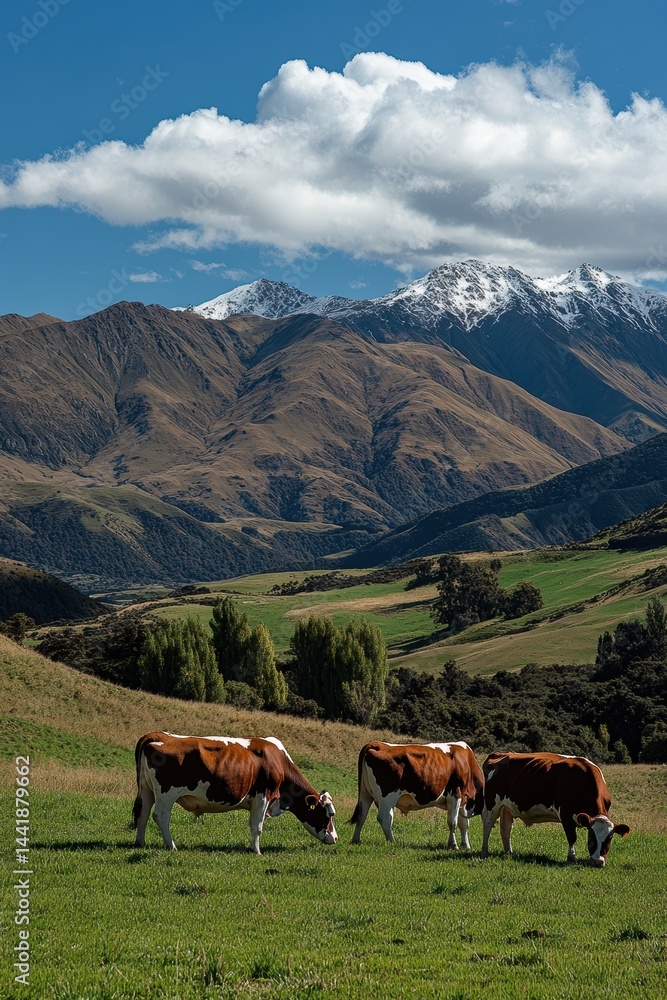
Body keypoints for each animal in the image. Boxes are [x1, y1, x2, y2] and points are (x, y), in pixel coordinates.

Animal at [132, 732, 338, 854]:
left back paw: (140, 842)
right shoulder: (263, 797)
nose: (335, 838)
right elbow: (257, 826)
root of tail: (156, 735)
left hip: (146, 789)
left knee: (143, 813)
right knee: (160, 816)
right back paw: (171, 846)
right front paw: (257, 851)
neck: (279, 761)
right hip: (166, 794)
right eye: (328, 814)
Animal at [349, 741, 485, 848]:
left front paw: (466, 845)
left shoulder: (463, 800)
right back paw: (392, 841)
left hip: (365, 794)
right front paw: (453, 844)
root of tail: (376, 744)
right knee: (385, 818)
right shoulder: (455, 795)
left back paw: (356, 840)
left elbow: (464, 824)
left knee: (361, 815)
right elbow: (453, 822)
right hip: (387, 798)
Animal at [481, 751, 630, 866]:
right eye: (591, 836)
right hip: (491, 804)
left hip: (507, 807)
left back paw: (509, 853)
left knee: (505, 828)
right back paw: (484, 852)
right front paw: (572, 858)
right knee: (487, 824)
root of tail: (501, 754)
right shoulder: (565, 814)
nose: (597, 862)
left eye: (610, 838)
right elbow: (572, 837)